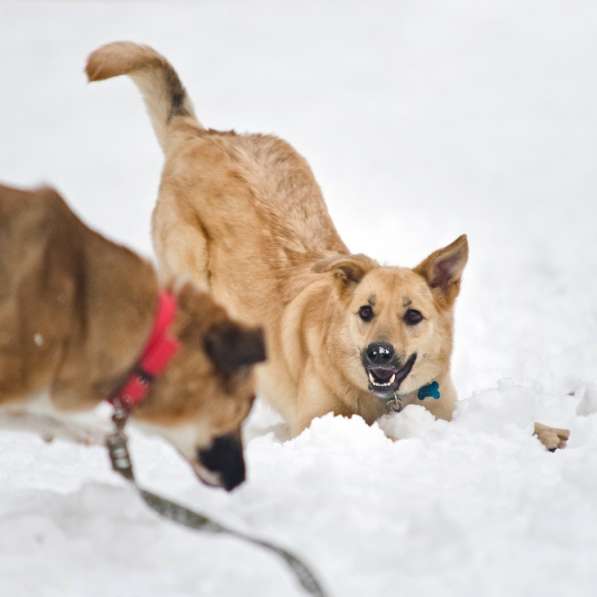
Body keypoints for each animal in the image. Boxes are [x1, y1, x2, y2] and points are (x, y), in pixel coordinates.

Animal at [87, 40, 470, 434]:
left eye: (413, 315)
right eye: (366, 311)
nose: (379, 352)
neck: (387, 402)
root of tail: (202, 135)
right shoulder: (313, 420)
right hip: (188, 273)